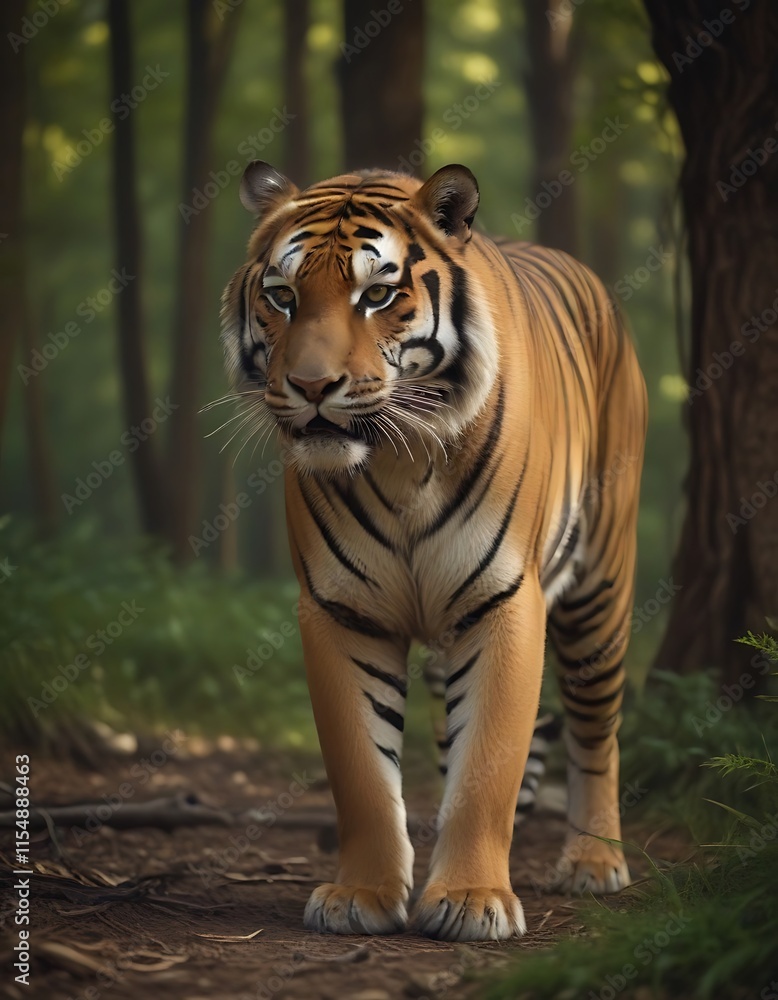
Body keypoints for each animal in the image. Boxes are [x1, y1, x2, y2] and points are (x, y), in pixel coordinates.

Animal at [221, 160, 647, 942]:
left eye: (378, 294)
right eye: (282, 296)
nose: (311, 386)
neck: (397, 457)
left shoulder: (505, 601)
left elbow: (489, 766)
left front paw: (474, 901)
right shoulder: (341, 610)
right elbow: (362, 771)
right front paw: (360, 896)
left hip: (602, 590)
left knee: (597, 731)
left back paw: (594, 862)